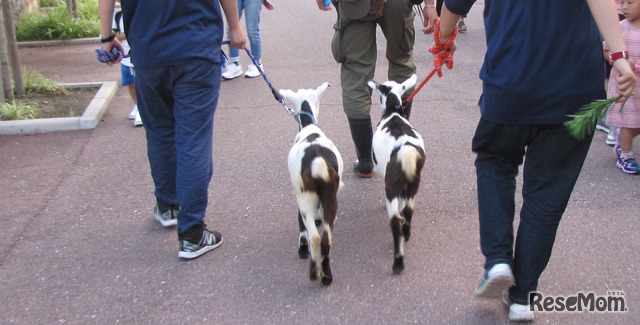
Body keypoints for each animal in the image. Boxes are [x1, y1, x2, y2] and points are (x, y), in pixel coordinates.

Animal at [284, 83, 344, 284]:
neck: (309, 129)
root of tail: (317, 162)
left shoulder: (298, 194)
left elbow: (301, 225)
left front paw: (301, 249)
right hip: (330, 196)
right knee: (326, 239)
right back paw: (327, 277)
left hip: (306, 196)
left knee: (315, 237)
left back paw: (313, 271)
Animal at [368, 74, 428, 274]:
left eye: (380, 89)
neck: (393, 112)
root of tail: (405, 152)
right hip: (413, 185)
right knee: (408, 211)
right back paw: (406, 235)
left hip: (392, 186)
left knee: (395, 221)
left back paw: (398, 262)